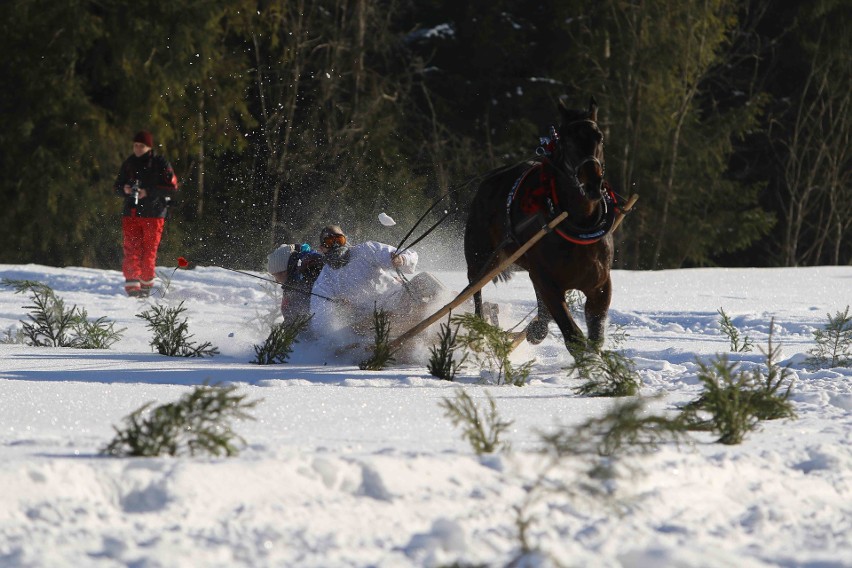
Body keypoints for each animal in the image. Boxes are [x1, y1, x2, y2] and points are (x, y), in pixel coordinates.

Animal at [462, 95, 616, 358]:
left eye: (600, 137)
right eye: (567, 139)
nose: (592, 183)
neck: (576, 222)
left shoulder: (600, 285)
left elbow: (596, 337)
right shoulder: (549, 282)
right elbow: (573, 335)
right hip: (481, 258)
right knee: (476, 289)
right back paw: (480, 331)